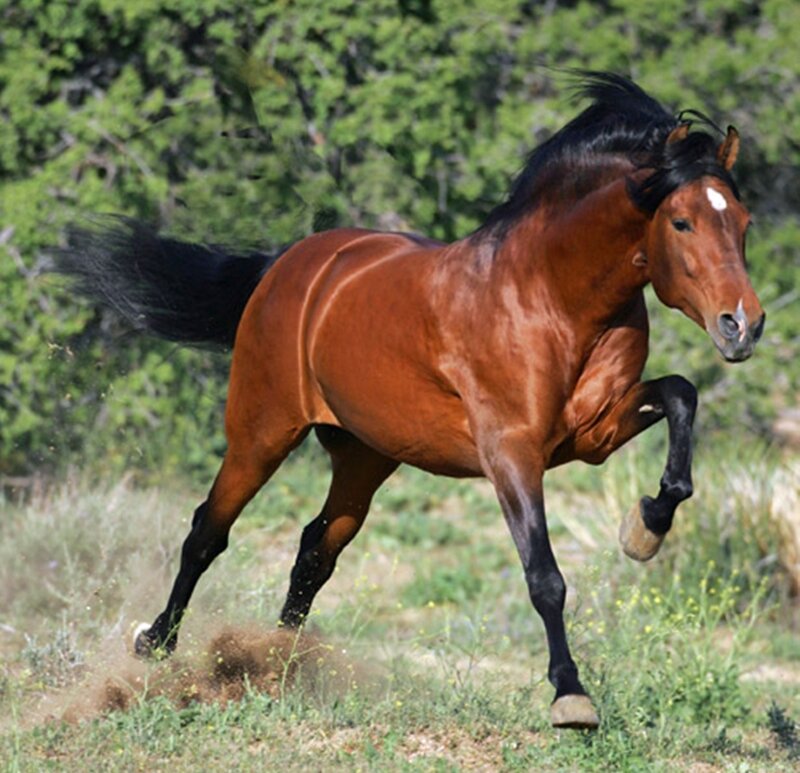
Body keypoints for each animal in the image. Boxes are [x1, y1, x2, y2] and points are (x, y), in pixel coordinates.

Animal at [57, 72, 764, 729]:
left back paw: (277, 667)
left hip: (366, 456)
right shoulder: (511, 452)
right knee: (208, 532)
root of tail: (290, 264)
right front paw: (571, 696)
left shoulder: (592, 433)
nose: (743, 325)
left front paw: (647, 527)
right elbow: (545, 577)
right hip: (262, 431)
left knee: (314, 551)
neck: (551, 297)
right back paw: (156, 646)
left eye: (743, 222)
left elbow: (681, 396)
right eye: (681, 221)